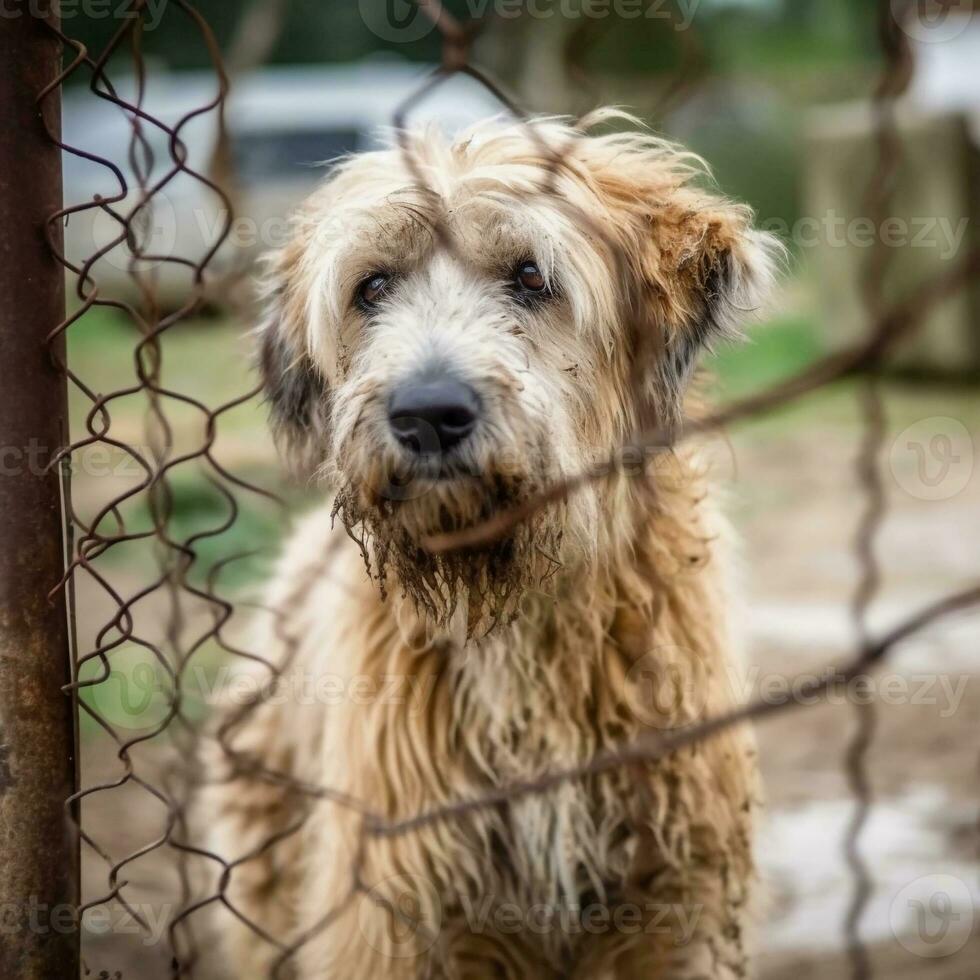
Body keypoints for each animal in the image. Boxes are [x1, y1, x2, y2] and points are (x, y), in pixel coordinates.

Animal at [203, 111, 776, 976]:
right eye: (374, 287)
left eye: (531, 277)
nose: (427, 414)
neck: (520, 617)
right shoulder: (393, 912)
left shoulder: (669, 906)